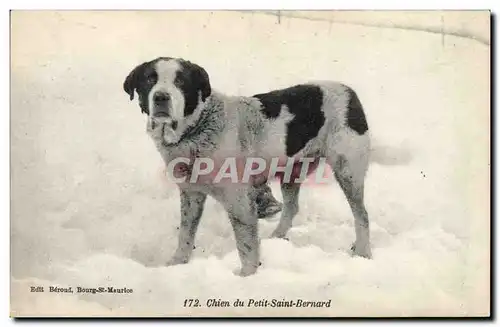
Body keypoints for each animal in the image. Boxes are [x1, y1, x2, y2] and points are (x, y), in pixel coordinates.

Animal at [122, 57, 372, 276]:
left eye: (180, 81)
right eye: (150, 79)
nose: (161, 97)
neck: (197, 129)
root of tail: (349, 91)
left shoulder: (240, 201)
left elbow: (246, 245)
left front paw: (246, 276)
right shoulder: (191, 194)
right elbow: (185, 234)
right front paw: (177, 264)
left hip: (347, 170)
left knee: (362, 215)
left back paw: (363, 252)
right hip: (291, 171)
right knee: (292, 208)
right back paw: (276, 237)